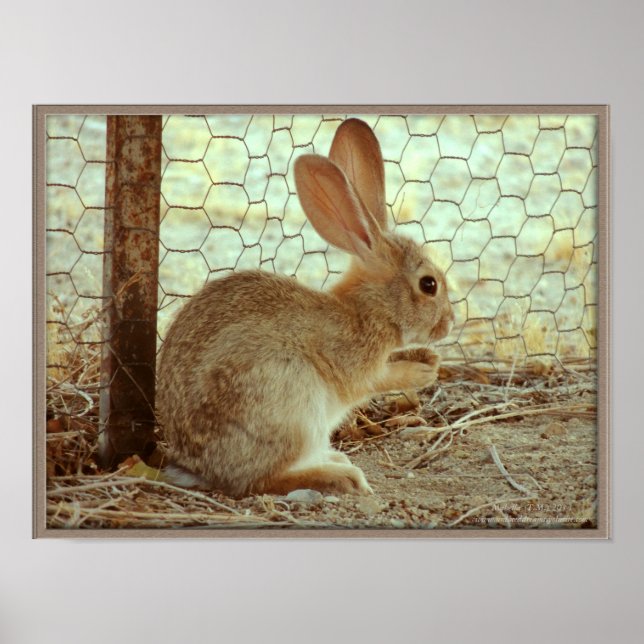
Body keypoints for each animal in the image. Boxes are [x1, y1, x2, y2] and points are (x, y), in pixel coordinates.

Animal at [156, 118, 454, 498]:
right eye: (429, 285)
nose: (450, 322)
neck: (365, 311)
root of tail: (198, 468)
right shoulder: (353, 363)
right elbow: (375, 379)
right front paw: (422, 371)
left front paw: (428, 359)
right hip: (289, 405)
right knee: (259, 480)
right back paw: (341, 476)